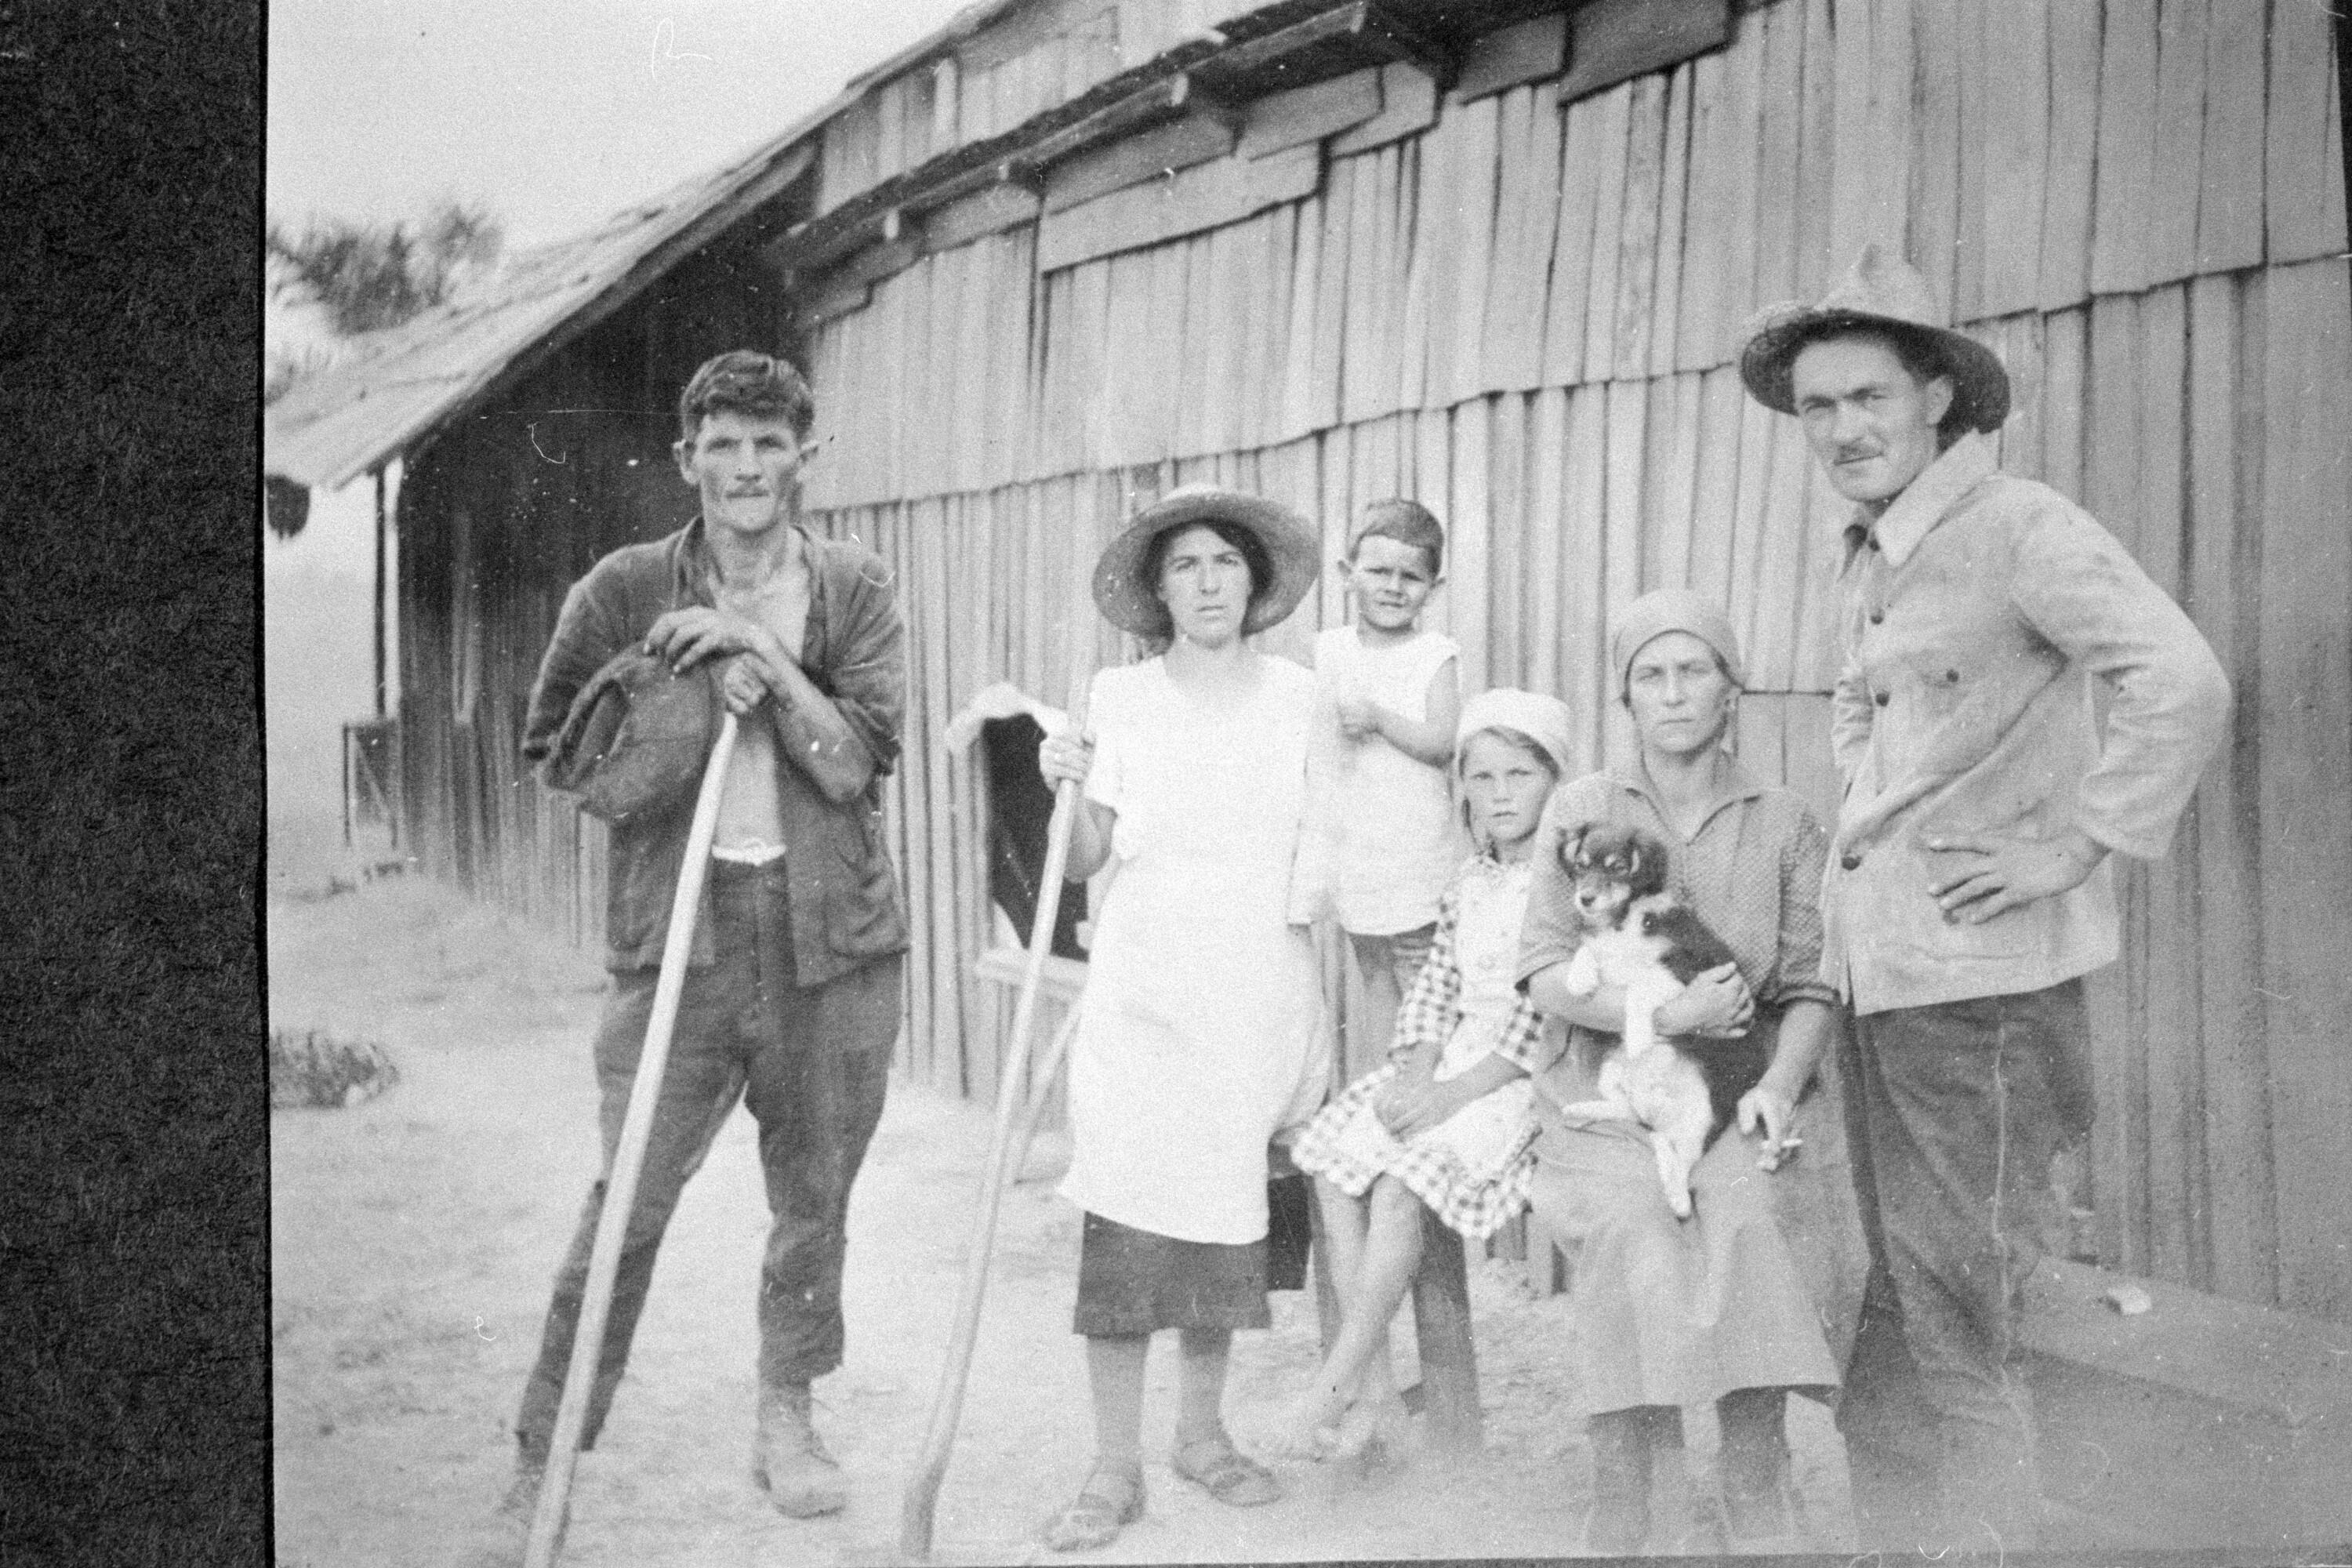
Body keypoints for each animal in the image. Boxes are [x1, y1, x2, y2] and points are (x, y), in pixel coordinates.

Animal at [1551, 823, 1768, 1218]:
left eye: (1618, 867)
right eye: (1581, 865)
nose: (1585, 899)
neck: (1622, 920)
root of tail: (1656, 1112)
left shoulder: (1681, 969)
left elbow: (1641, 984)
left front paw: (1638, 1035)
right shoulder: (1606, 952)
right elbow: (1588, 950)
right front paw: (1579, 978)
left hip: (1703, 1114)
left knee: (1677, 1155)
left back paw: (1678, 1197)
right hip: (1611, 1071)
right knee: (1631, 1114)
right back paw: (1583, 1109)